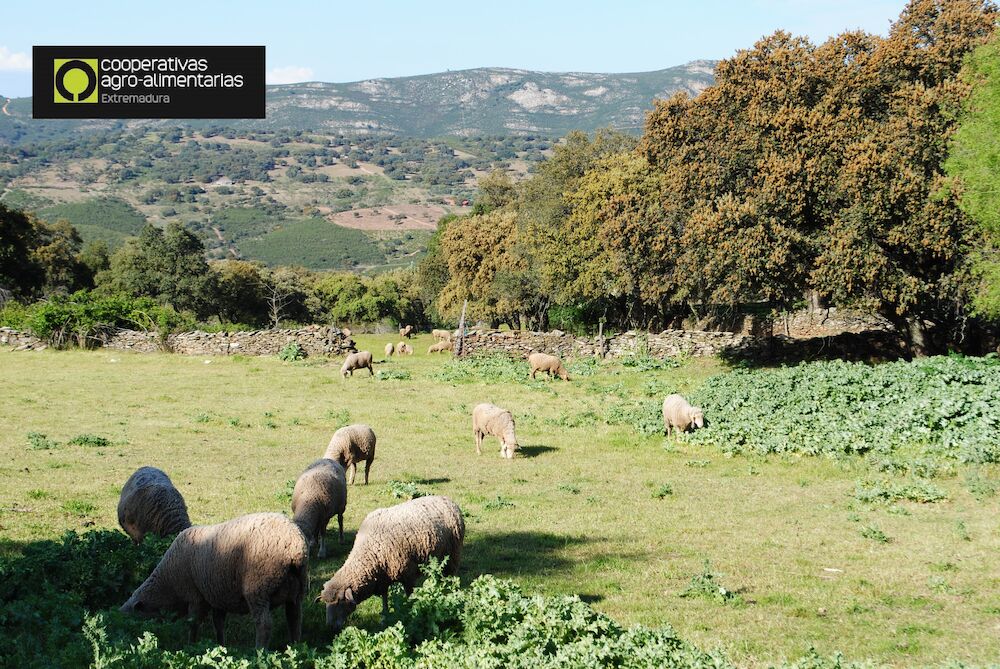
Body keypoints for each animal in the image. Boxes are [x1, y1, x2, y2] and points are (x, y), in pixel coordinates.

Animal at [118, 512, 304, 648]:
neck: (167, 583)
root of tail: (295, 548)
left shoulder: (195, 596)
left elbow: (193, 624)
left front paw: (190, 646)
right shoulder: (216, 596)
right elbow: (218, 623)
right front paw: (220, 645)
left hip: (258, 588)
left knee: (264, 625)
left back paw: (259, 652)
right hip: (296, 591)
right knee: (294, 618)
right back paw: (295, 646)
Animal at [320, 490, 464, 632]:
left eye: (340, 602)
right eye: (325, 603)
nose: (330, 627)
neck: (370, 551)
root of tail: (448, 500)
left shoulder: (408, 575)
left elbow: (409, 596)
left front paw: (412, 614)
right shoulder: (382, 578)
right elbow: (384, 598)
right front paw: (385, 617)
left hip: (454, 552)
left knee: (453, 574)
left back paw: (452, 592)